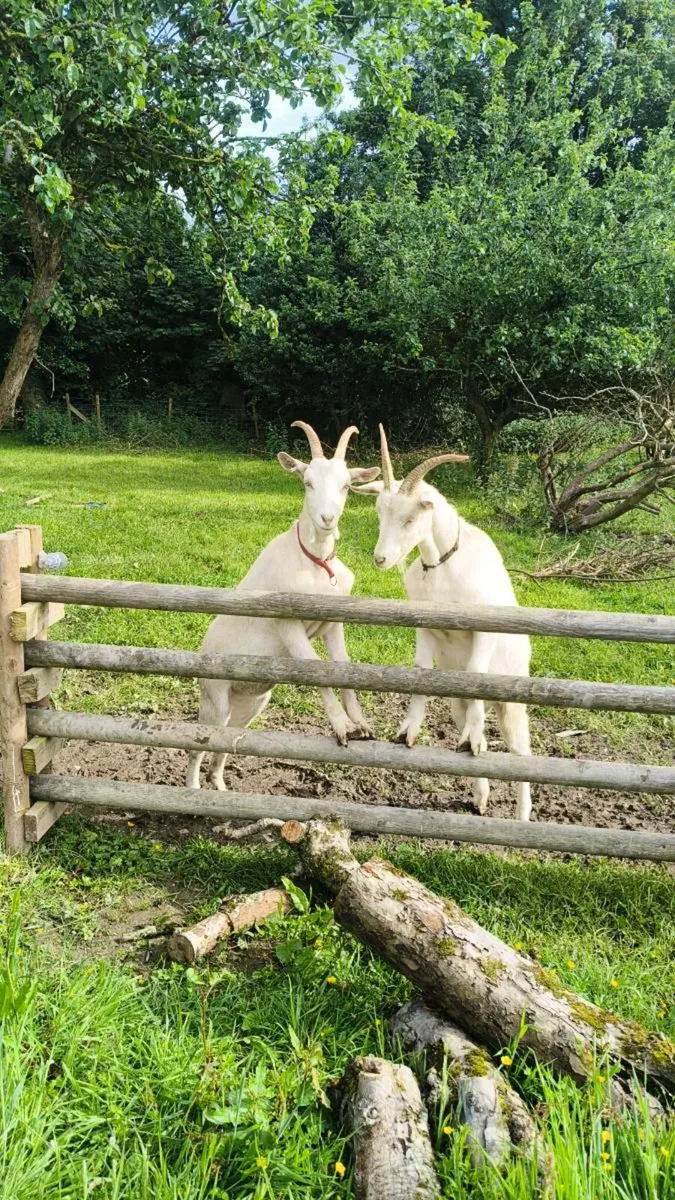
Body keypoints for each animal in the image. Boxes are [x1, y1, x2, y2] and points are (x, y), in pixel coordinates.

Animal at [186, 422, 380, 790]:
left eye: (346, 486)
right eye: (307, 482)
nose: (327, 519)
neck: (315, 564)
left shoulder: (333, 624)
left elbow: (343, 666)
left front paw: (361, 724)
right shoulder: (287, 625)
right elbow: (316, 669)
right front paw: (342, 727)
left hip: (252, 701)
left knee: (227, 738)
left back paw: (220, 786)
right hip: (214, 695)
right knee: (198, 742)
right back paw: (192, 790)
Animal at [354, 425, 532, 821]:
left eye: (409, 519)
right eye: (379, 514)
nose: (380, 558)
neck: (444, 566)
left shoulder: (484, 630)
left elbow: (476, 671)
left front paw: (475, 738)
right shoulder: (424, 626)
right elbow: (421, 671)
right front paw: (408, 731)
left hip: (511, 700)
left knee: (522, 753)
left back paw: (523, 816)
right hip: (456, 703)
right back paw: (480, 797)